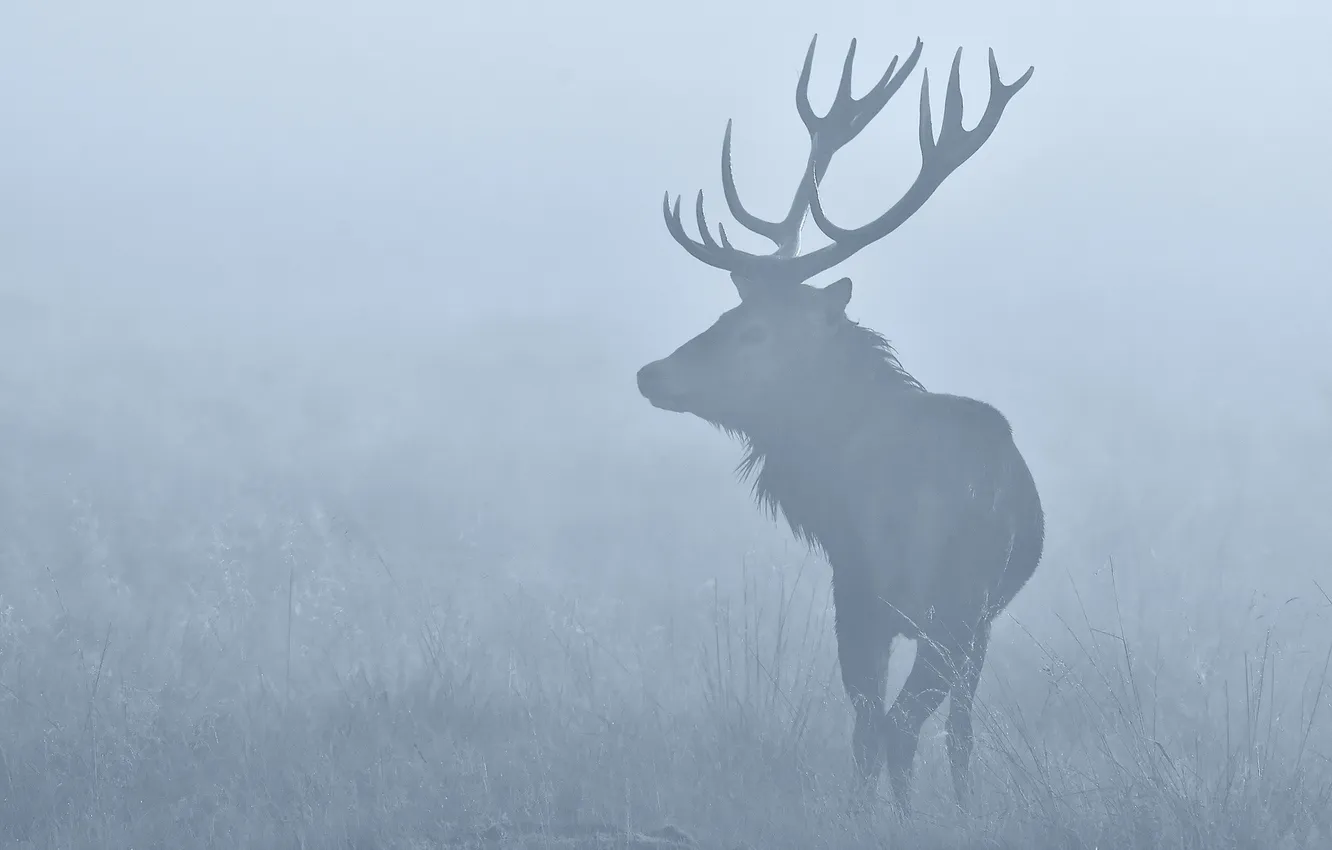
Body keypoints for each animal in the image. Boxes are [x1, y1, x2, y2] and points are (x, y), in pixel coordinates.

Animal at [635, 33, 1045, 810]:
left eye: (754, 331)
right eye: (727, 313)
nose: (651, 374)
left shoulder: (873, 591)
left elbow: (892, 729)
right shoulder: (957, 616)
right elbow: (943, 734)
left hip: (913, 601)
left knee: (888, 725)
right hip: (946, 607)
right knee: (912, 725)